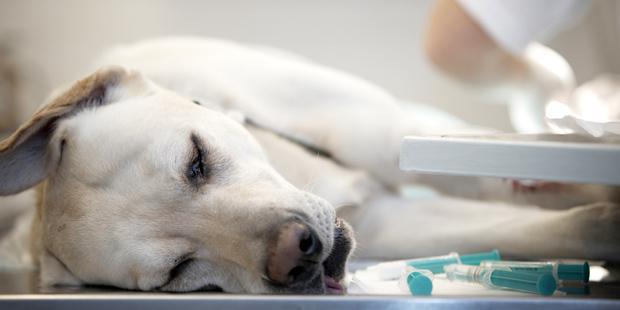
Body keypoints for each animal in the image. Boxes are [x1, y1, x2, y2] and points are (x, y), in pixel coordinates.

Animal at [0, 36, 616, 294]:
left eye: (196, 159)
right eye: (177, 272)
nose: (297, 254)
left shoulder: (402, 147)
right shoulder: (389, 222)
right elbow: (561, 227)